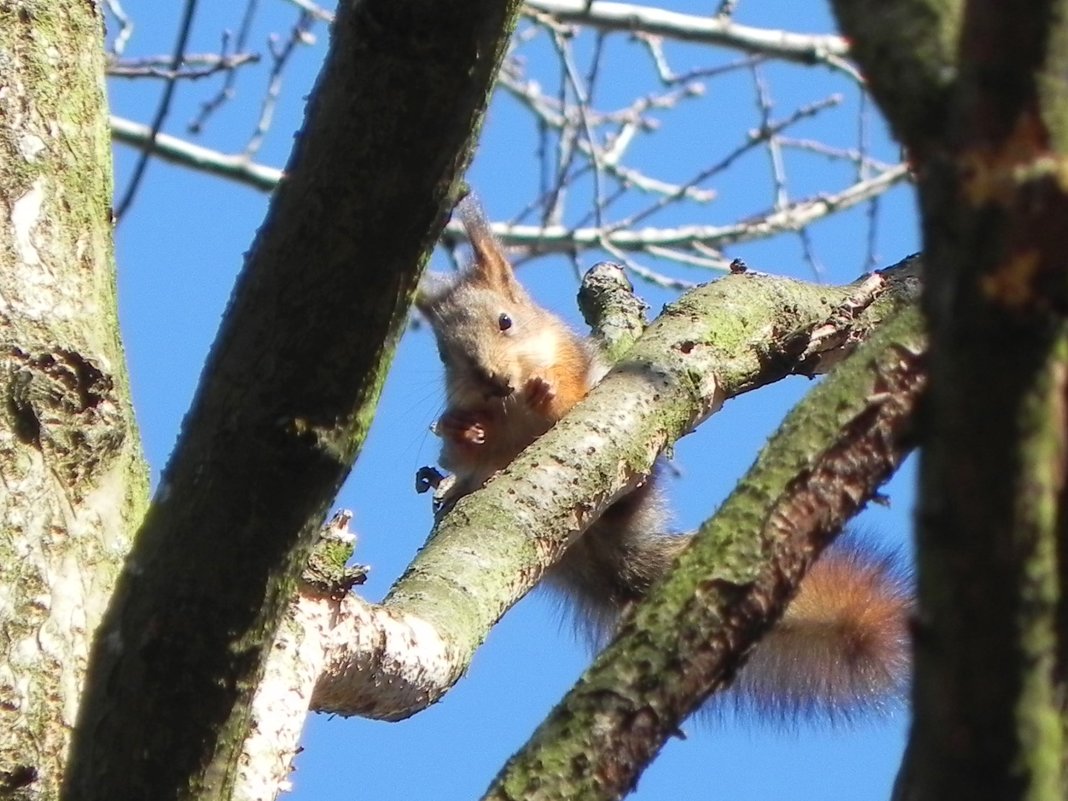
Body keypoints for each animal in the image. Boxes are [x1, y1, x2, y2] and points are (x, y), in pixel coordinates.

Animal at [416, 194, 909, 721]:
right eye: (444, 355)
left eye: (505, 322)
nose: (492, 380)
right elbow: (468, 452)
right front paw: (465, 428)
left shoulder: (572, 366)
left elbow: (567, 398)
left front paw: (544, 391)